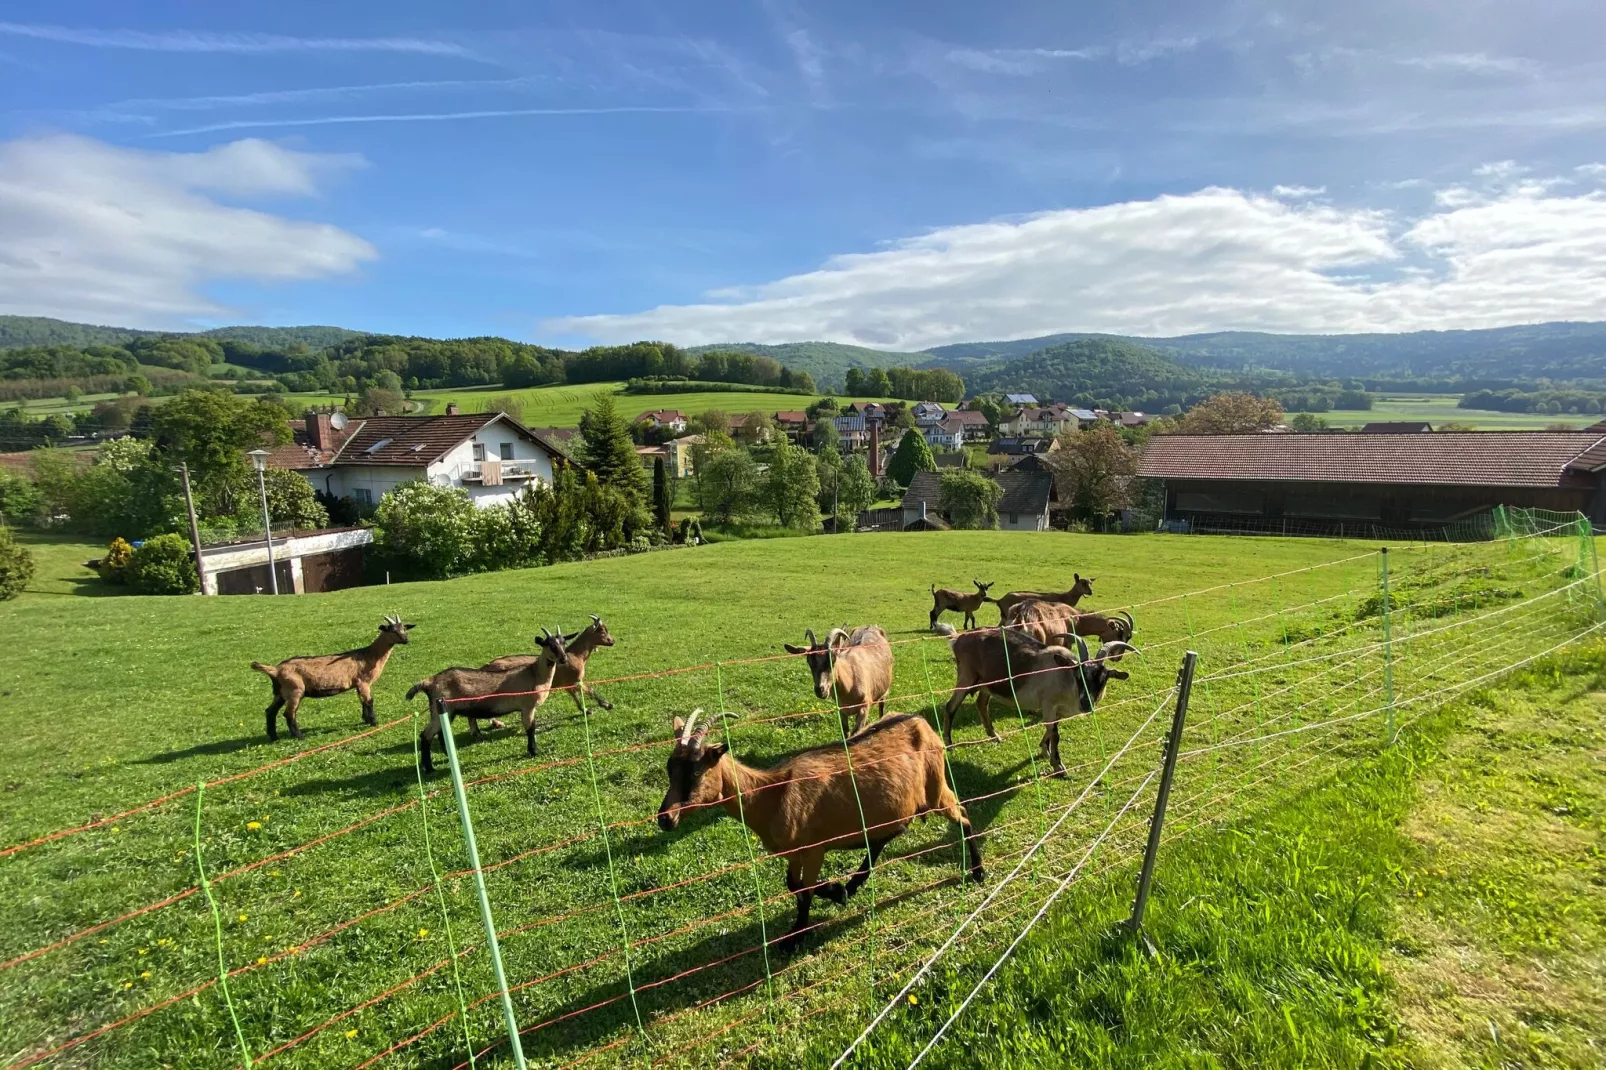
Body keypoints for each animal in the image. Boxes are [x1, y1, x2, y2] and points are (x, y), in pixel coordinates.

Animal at [250, 607, 414, 742]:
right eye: (392, 630)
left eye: (404, 629)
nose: (406, 640)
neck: (368, 655)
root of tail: (275, 669)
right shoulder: (363, 682)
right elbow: (369, 701)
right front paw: (374, 722)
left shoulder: (358, 684)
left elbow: (362, 701)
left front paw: (365, 719)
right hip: (295, 690)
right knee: (289, 713)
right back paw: (299, 736)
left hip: (280, 692)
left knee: (270, 711)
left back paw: (274, 737)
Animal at [407, 626, 571, 767]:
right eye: (549, 645)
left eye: (564, 643)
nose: (564, 659)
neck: (535, 674)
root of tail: (429, 681)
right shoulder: (527, 706)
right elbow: (530, 729)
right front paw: (534, 751)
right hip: (440, 710)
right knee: (426, 735)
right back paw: (429, 767)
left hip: (444, 711)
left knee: (440, 732)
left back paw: (447, 755)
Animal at [478, 613, 616, 713]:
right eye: (602, 631)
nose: (612, 641)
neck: (576, 656)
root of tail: (486, 666)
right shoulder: (576, 680)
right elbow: (590, 690)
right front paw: (607, 704)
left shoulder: (566, 683)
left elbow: (575, 695)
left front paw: (585, 710)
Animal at [652, 706, 976, 951]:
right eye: (670, 768)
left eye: (696, 771)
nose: (665, 818)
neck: (771, 795)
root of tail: (921, 722)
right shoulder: (795, 853)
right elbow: (792, 885)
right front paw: (836, 892)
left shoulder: (815, 849)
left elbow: (805, 891)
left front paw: (795, 936)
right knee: (887, 836)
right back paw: (854, 883)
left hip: (936, 787)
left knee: (963, 815)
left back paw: (977, 871)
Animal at [944, 620, 1137, 771]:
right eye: (1078, 676)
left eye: (1103, 679)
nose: (1086, 704)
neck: (1063, 676)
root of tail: (958, 639)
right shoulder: (1049, 703)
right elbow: (1054, 733)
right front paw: (1058, 766)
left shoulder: (1056, 710)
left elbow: (1051, 730)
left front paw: (1045, 751)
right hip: (966, 676)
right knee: (951, 706)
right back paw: (949, 744)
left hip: (986, 684)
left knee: (981, 703)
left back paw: (995, 736)